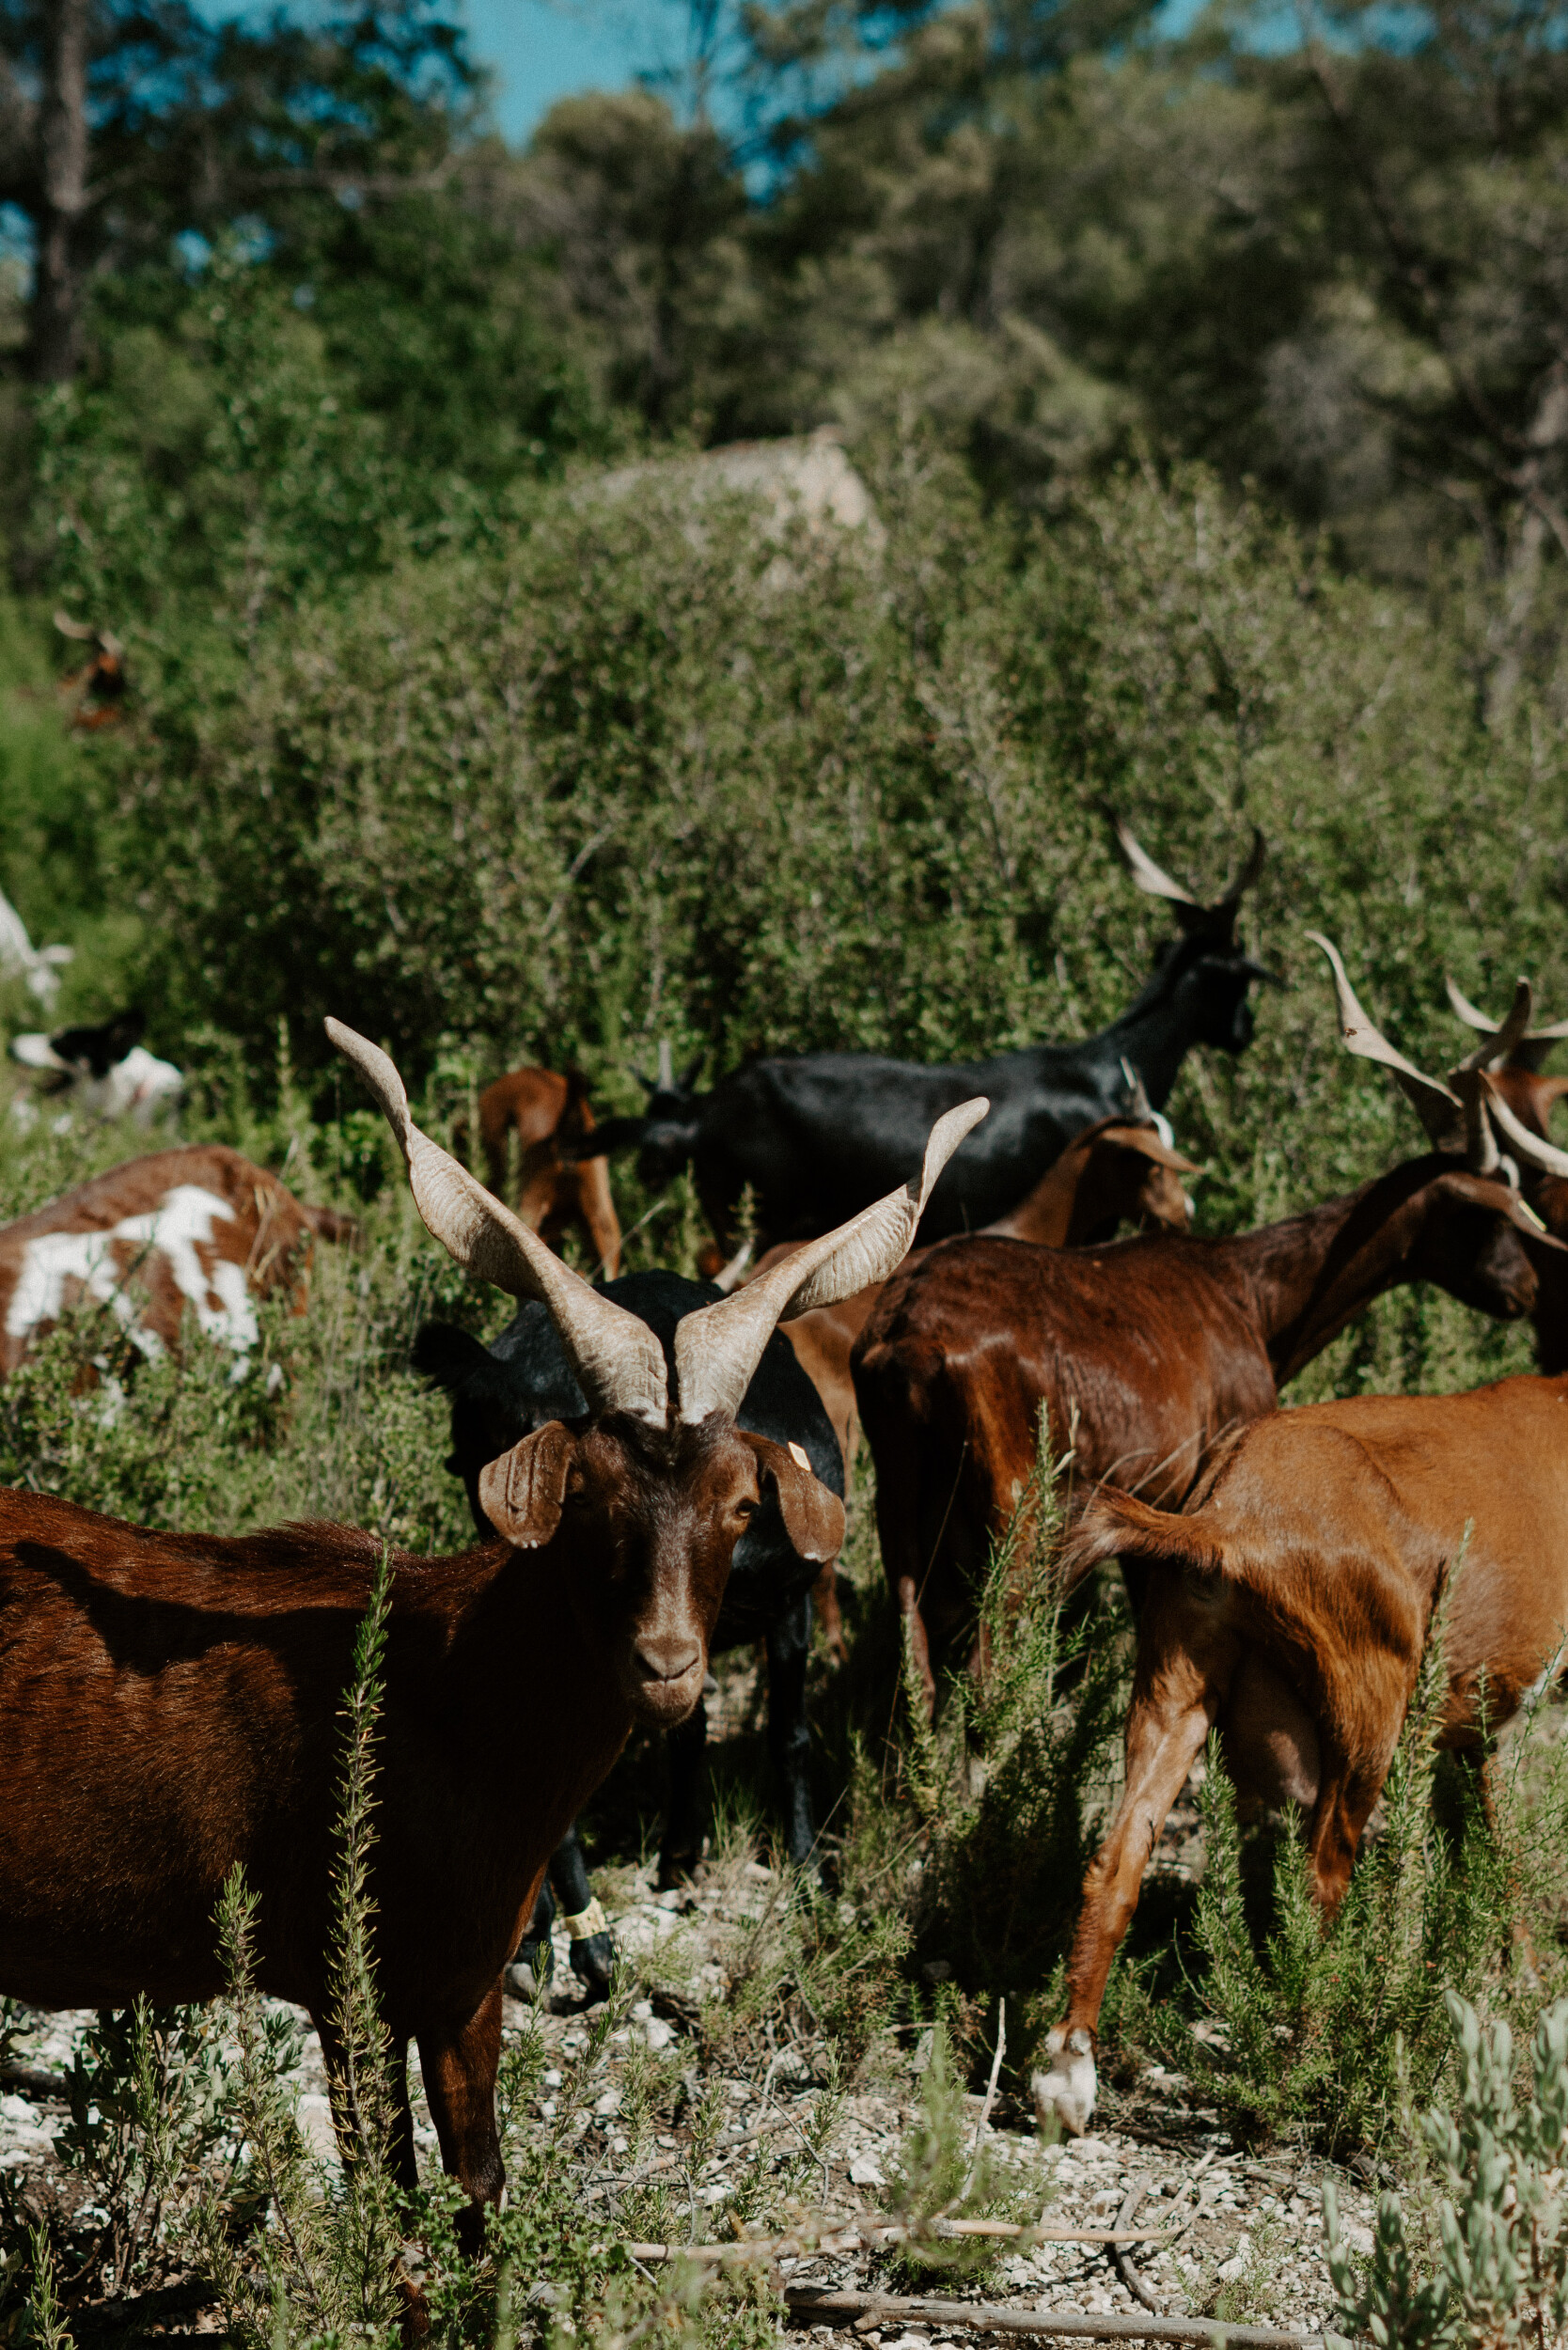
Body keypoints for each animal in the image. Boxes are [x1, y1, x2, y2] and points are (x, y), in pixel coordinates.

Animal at [1034, 1372, 1568, 2143]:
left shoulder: (1476, 1730)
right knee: (1320, 1883)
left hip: (1175, 1676)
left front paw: (1525, 1977)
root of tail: (1225, 1512)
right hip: (1369, 1702)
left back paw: (1065, 2078)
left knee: (1118, 1856)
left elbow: (1496, 1844)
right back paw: (1331, 2054)